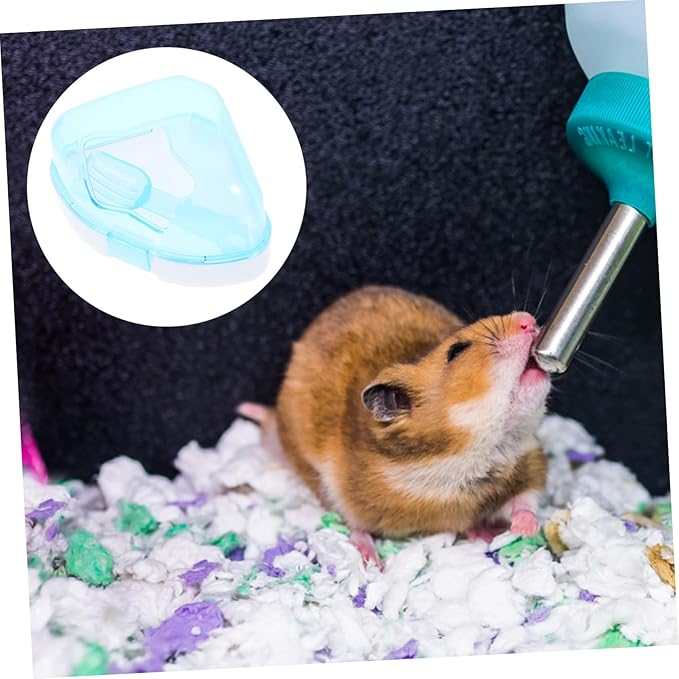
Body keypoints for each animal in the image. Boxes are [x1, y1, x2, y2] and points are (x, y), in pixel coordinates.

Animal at [238, 285, 551, 566]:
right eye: (456, 350)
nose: (528, 321)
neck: (470, 450)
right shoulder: (343, 489)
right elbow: (353, 522)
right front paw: (371, 561)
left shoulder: (528, 463)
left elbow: (525, 501)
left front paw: (525, 529)